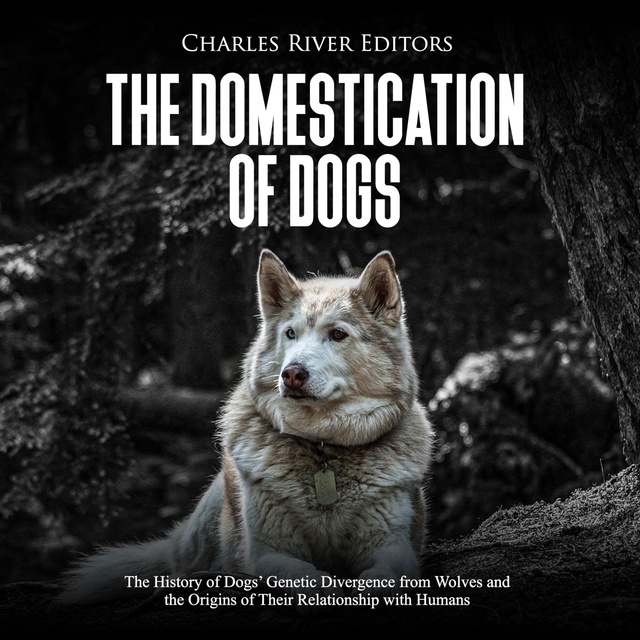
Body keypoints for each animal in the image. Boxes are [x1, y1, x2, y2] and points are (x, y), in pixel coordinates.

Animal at [59, 249, 434, 604]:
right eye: (290, 333)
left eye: (338, 334)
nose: (291, 373)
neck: (322, 449)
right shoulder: (267, 553)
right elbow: (306, 577)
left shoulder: (394, 544)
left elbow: (387, 574)